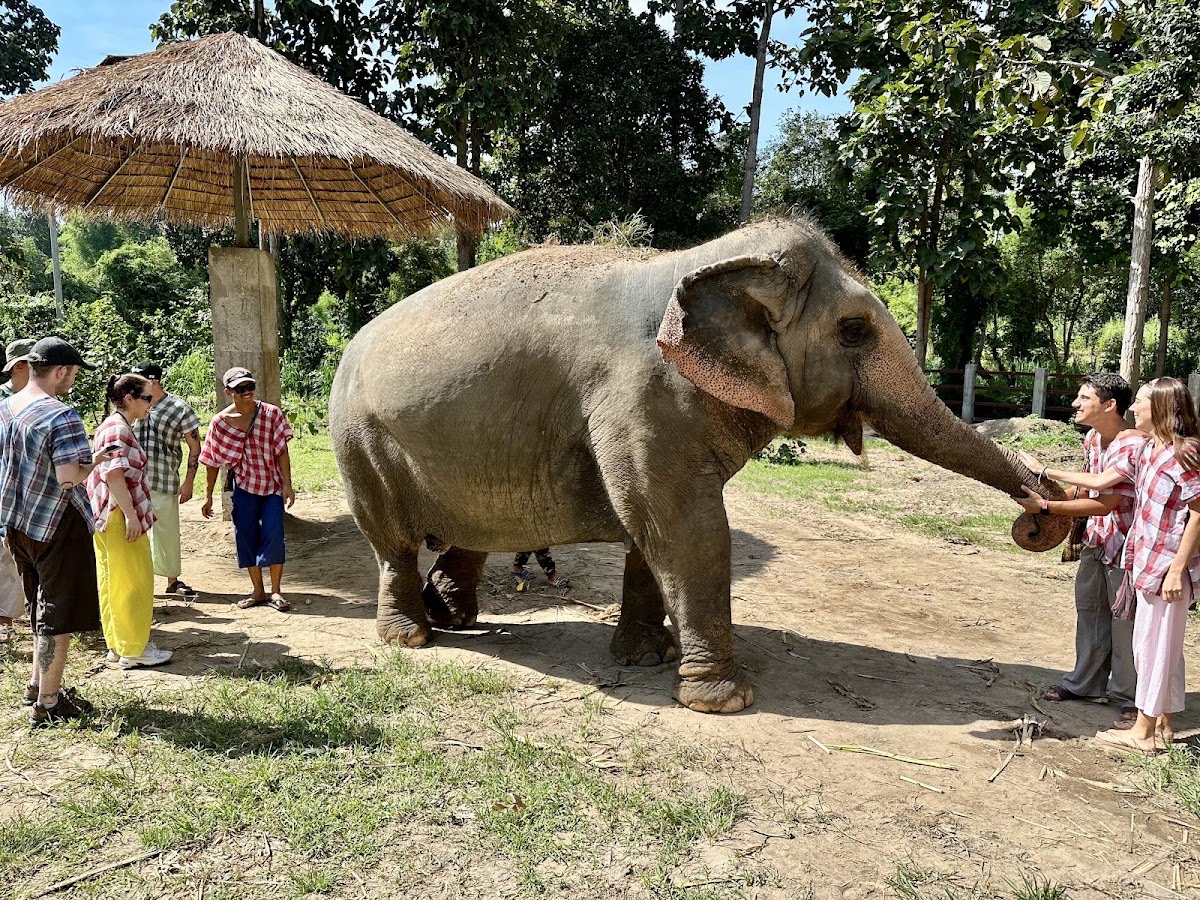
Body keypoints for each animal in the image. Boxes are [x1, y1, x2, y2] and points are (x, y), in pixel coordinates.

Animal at [329, 217, 1068, 713]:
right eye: (855, 330)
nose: (1042, 507)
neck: (703, 262)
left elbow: (651, 532)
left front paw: (645, 657)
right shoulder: (641, 394)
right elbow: (688, 528)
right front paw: (725, 699)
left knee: (471, 532)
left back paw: (453, 617)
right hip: (360, 443)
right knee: (393, 543)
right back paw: (412, 639)